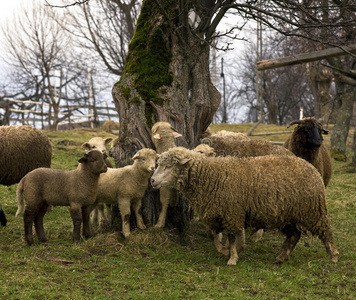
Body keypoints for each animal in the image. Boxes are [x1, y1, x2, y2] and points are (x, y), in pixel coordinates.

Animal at [151, 147, 340, 264]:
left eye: (169, 166)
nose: (152, 180)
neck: (209, 175)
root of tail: (311, 168)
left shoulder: (232, 212)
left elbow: (232, 237)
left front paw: (232, 257)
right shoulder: (217, 213)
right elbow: (214, 236)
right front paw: (224, 250)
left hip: (312, 210)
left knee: (325, 231)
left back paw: (333, 256)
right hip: (286, 214)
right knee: (294, 235)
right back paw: (281, 257)